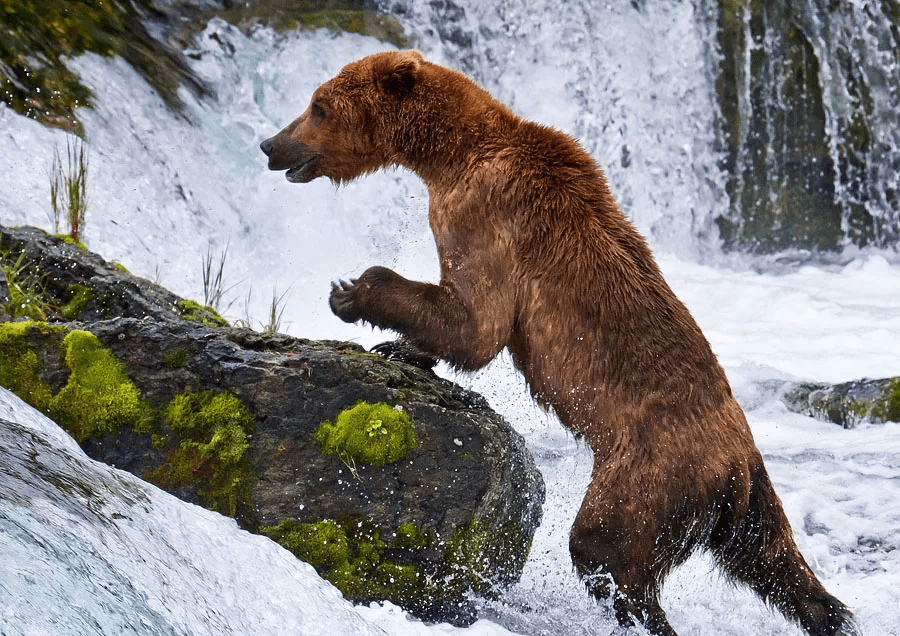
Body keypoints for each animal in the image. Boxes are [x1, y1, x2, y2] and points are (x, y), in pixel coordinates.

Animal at [260, 51, 856, 636]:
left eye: (317, 106)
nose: (269, 144)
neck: (447, 155)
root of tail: (737, 460)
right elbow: (463, 324)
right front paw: (400, 348)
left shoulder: (486, 214)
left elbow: (477, 323)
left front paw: (351, 292)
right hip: (745, 506)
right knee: (776, 567)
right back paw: (830, 616)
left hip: (648, 474)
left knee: (604, 550)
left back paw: (639, 611)